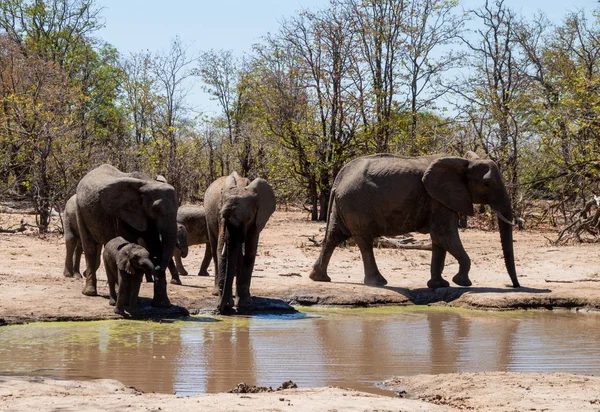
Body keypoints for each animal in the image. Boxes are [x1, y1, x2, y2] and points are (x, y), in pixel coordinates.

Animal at [75, 164, 178, 306]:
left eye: (178, 207)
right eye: (156, 209)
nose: (156, 266)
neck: (148, 183)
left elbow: (155, 245)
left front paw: (162, 305)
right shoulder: (123, 214)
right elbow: (128, 241)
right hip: (80, 209)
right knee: (90, 247)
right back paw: (90, 293)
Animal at [203, 172, 276, 314]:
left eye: (248, 218)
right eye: (223, 215)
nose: (219, 308)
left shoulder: (257, 219)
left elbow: (250, 252)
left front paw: (245, 305)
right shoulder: (220, 218)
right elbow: (221, 251)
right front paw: (228, 304)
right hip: (208, 218)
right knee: (215, 250)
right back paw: (216, 293)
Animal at [310, 154, 520, 290]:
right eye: (487, 184)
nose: (514, 286)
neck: (463, 161)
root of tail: (339, 178)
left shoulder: (440, 199)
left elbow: (439, 240)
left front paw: (438, 285)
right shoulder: (437, 199)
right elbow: (444, 234)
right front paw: (462, 282)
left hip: (344, 204)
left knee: (333, 236)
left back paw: (319, 278)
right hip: (356, 203)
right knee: (364, 240)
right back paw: (378, 282)